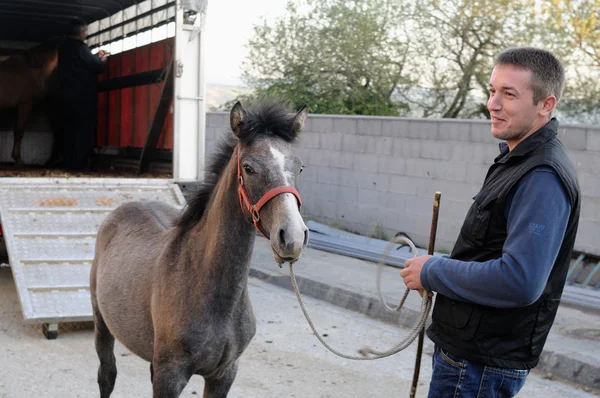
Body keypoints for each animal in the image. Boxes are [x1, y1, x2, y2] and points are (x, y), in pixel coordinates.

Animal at [92, 101, 312, 396]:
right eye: (248, 167)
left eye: (299, 167)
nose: (292, 236)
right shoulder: (170, 376)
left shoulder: (223, 374)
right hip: (102, 323)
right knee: (107, 375)